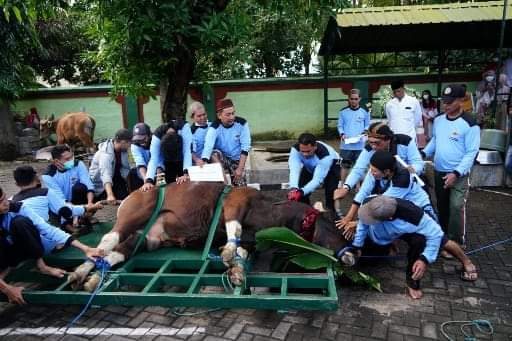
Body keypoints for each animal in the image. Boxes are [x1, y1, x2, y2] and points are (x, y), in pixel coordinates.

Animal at [69, 182, 348, 290]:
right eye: (333, 225)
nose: (353, 252)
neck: (268, 212)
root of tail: (133, 193)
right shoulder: (236, 203)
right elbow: (234, 230)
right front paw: (227, 253)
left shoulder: (252, 240)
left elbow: (243, 252)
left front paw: (237, 271)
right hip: (133, 216)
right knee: (107, 242)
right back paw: (81, 272)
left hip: (148, 239)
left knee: (116, 253)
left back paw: (91, 279)